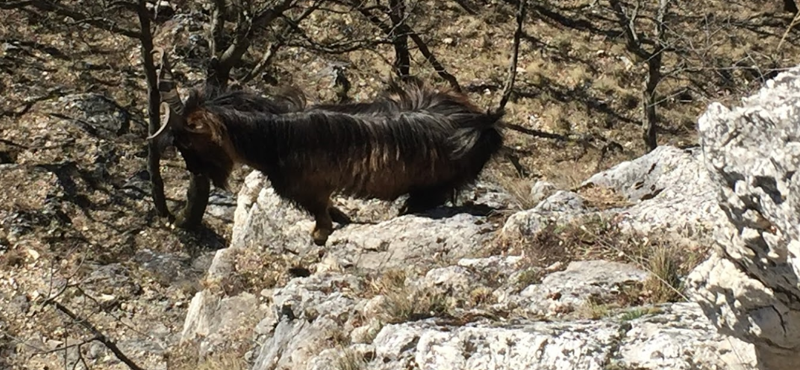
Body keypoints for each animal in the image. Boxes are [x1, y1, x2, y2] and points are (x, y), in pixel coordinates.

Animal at [147, 49, 504, 246]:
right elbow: (335, 214)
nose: (194, 170)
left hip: (432, 187)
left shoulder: (311, 191)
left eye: (186, 140)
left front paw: (319, 237)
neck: (275, 139)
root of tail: (484, 127)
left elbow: (323, 221)